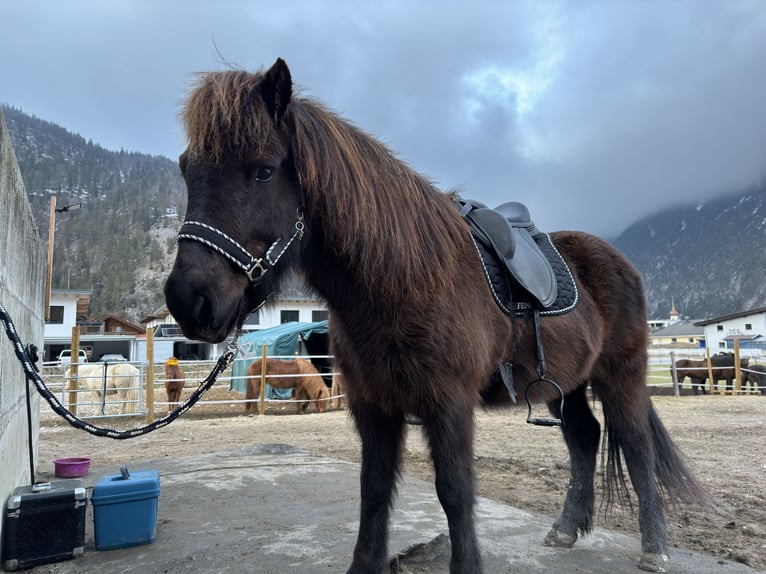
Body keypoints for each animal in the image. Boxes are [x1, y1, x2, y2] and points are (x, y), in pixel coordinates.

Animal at [163, 58, 705, 573]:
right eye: (188, 169)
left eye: (262, 170)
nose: (189, 300)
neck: (404, 281)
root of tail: (618, 261)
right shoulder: (373, 405)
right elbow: (374, 491)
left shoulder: (448, 404)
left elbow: (455, 493)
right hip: (564, 385)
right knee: (584, 438)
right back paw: (566, 529)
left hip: (620, 376)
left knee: (636, 448)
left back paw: (654, 548)